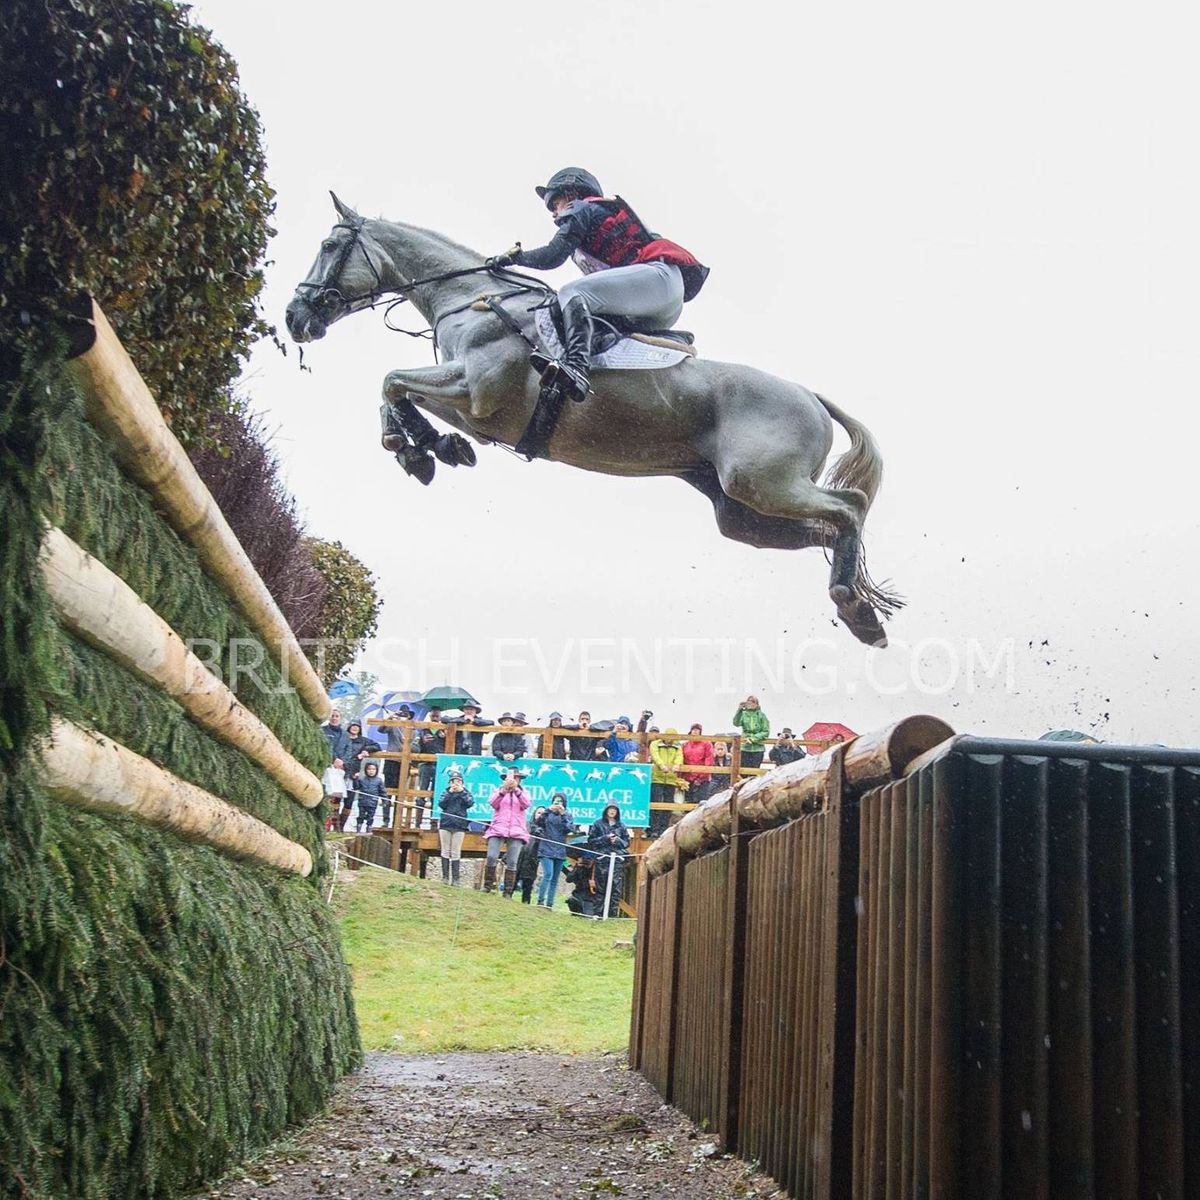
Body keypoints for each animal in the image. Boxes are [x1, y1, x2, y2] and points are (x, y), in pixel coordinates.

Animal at [285, 196, 897, 648]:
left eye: (330, 245)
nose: (295, 317)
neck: (470, 297)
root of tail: (811, 397)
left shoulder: (477, 393)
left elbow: (391, 380)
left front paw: (416, 445)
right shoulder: (470, 402)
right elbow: (394, 387)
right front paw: (429, 446)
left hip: (761, 481)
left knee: (849, 507)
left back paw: (852, 605)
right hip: (739, 511)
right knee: (824, 527)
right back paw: (860, 610)